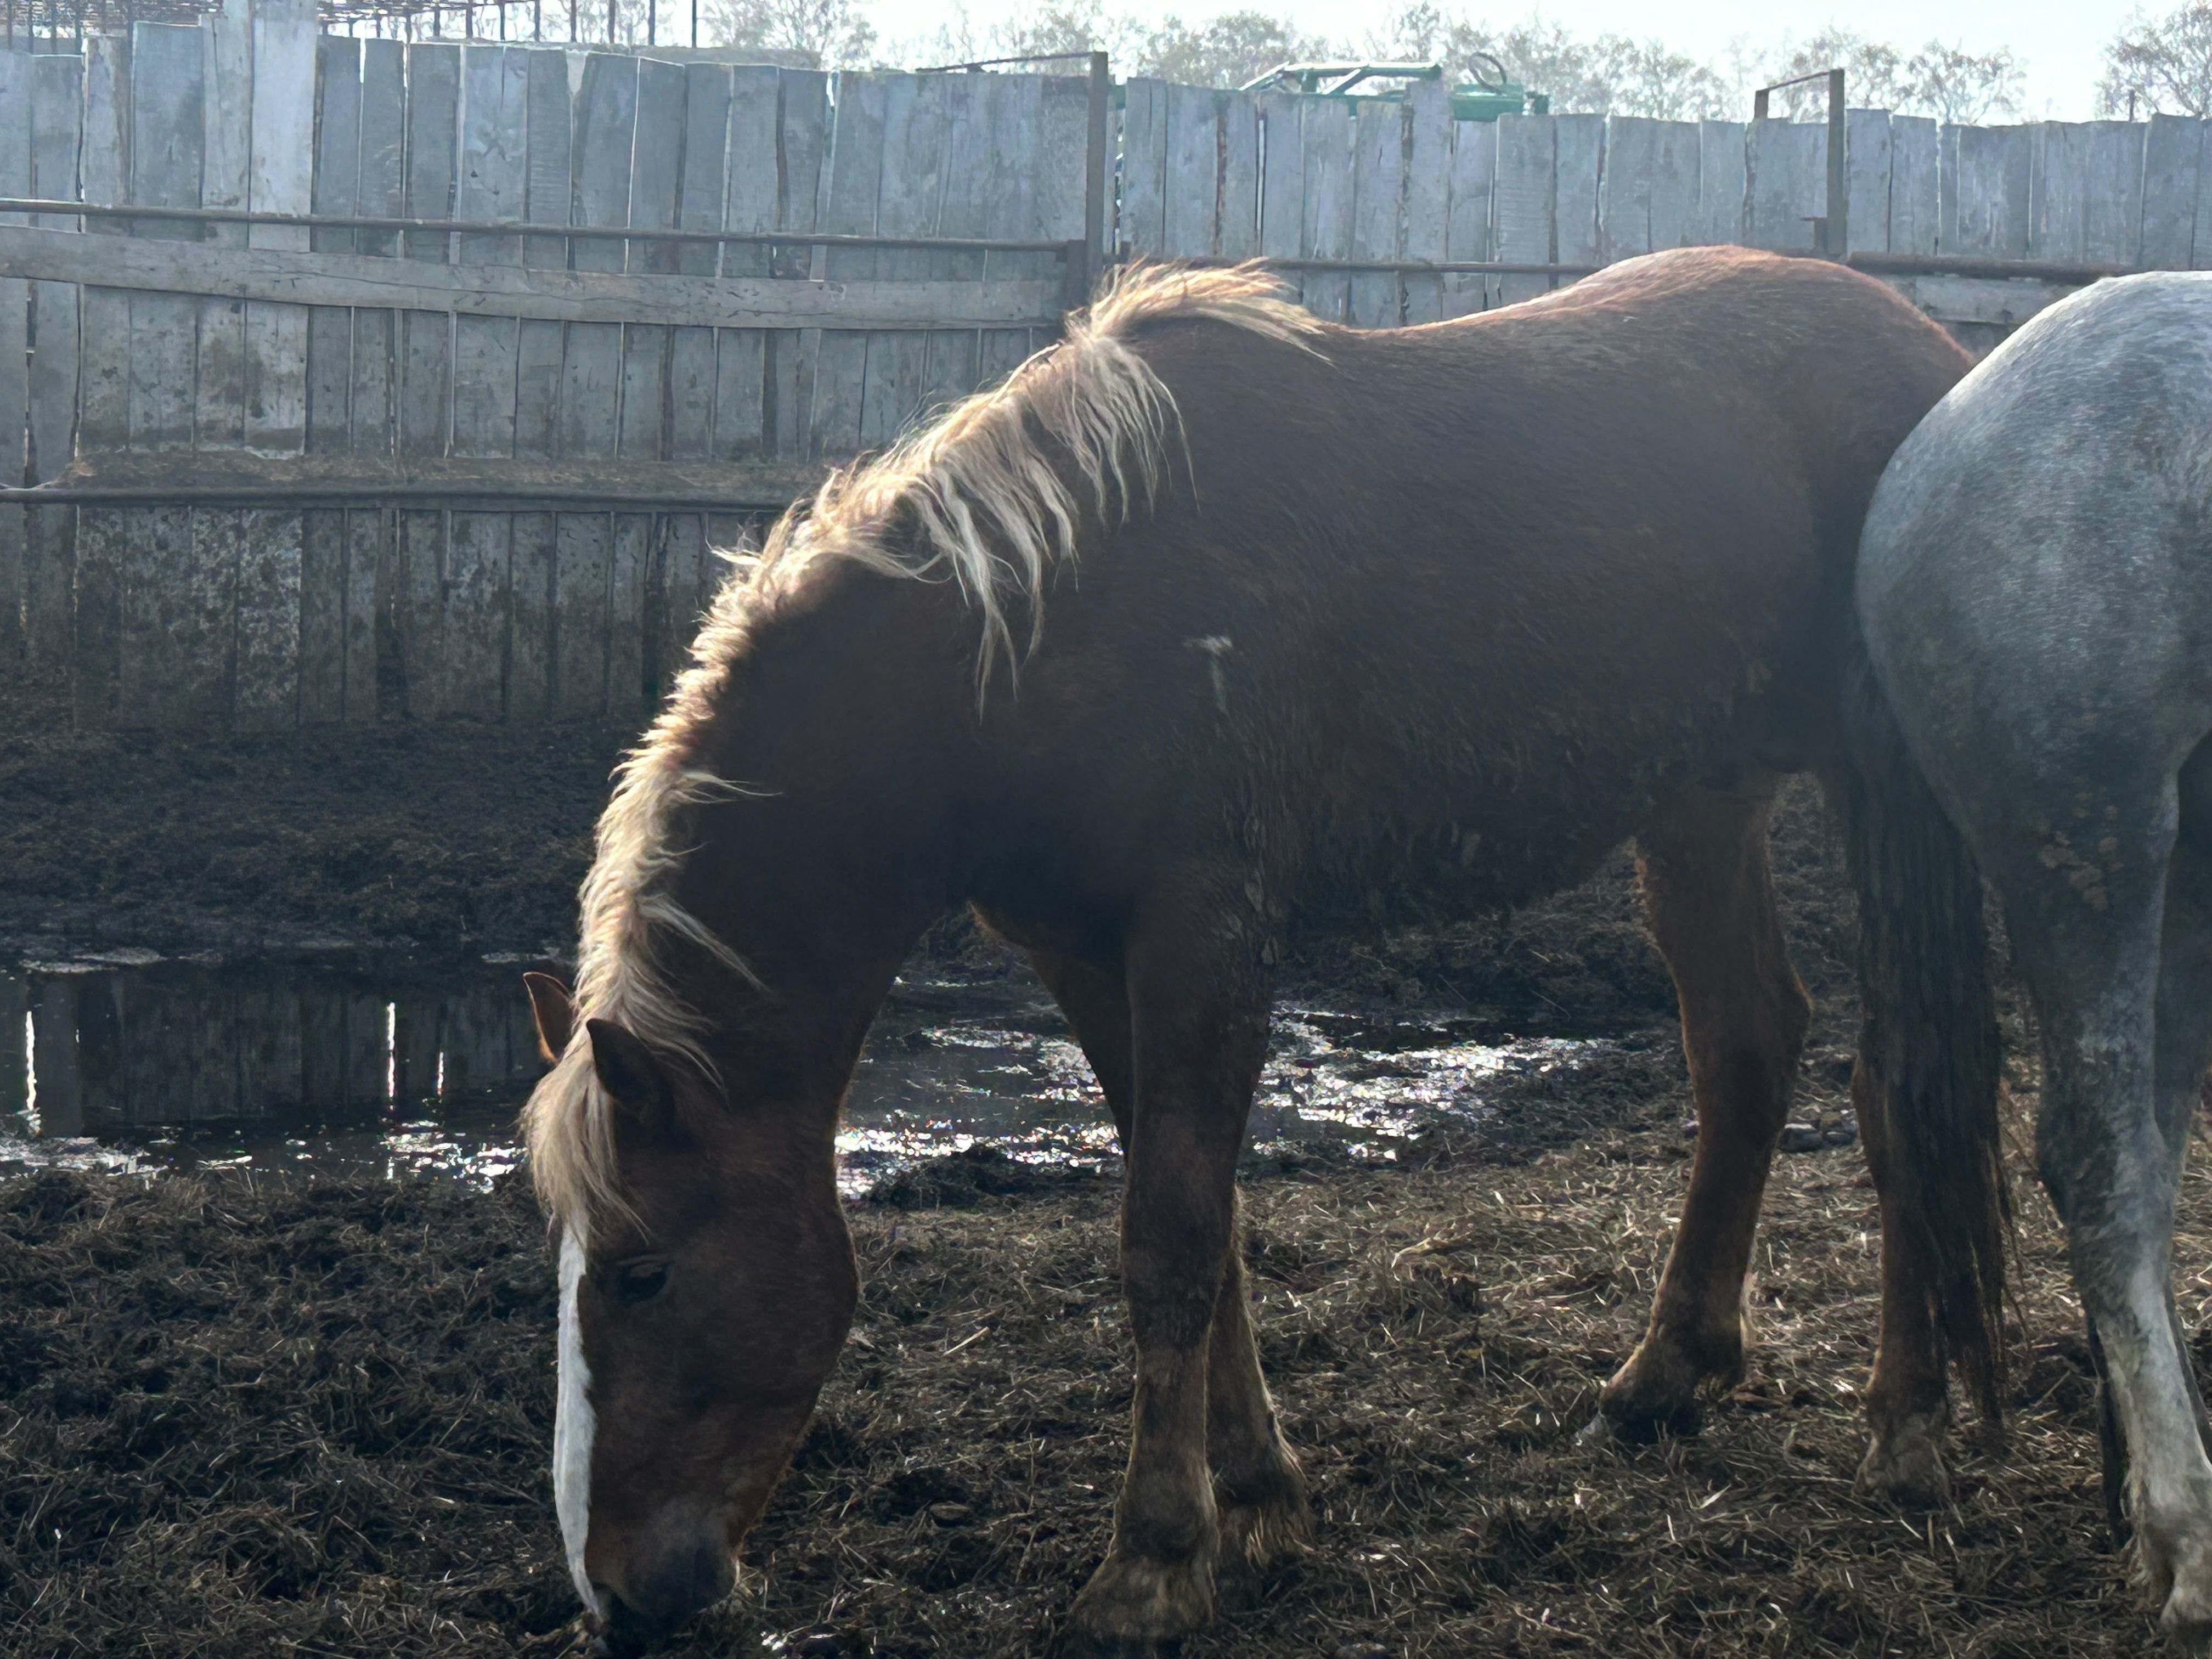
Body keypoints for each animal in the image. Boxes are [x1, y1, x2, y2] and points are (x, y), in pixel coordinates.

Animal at [522, 250, 2008, 1659]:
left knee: (1902, 1084)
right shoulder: (1085, 954)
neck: (1039, 635)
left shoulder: (1207, 933)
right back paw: (1670, 1371)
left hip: (1887, 800)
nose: (617, 1598)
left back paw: (1908, 1429)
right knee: (1748, 1047)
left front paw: (1154, 1563)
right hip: (1701, 804)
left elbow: (1171, 1236)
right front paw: (1253, 1486)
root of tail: (1939, 354)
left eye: (645, 1273)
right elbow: (1201, 1221)